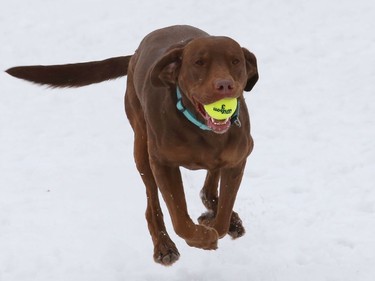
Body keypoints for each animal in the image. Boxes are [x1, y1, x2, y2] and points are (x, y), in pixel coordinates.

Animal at [6, 24, 258, 264]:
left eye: (235, 61)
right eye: (199, 62)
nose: (224, 85)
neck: (200, 129)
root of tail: (136, 53)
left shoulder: (237, 160)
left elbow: (223, 213)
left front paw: (217, 222)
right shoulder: (162, 163)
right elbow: (179, 220)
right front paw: (203, 239)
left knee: (208, 187)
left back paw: (223, 216)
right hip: (141, 148)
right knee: (152, 204)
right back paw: (164, 246)